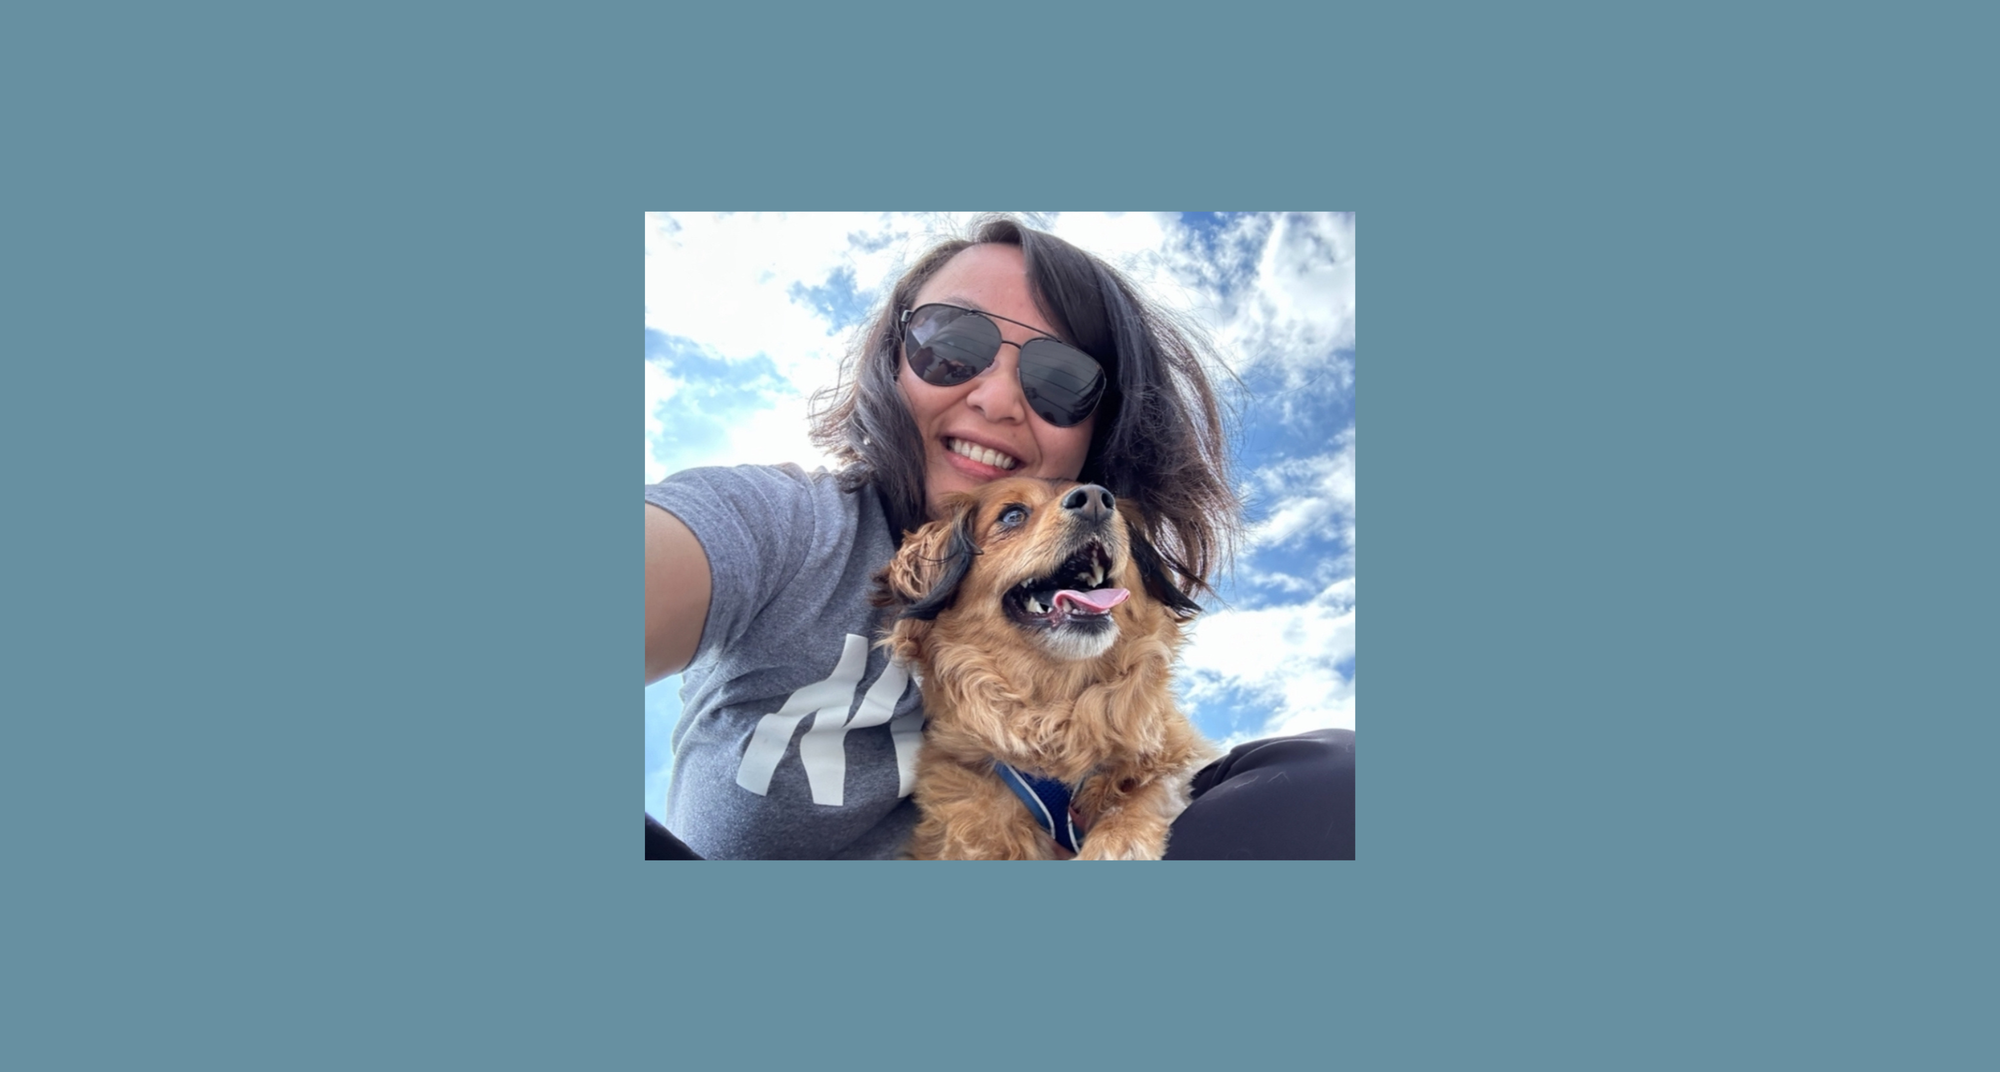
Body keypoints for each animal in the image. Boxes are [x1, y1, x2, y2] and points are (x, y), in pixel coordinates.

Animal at [872, 477, 1217, 860]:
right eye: (1012, 515)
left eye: (1113, 505)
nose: (1096, 499)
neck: (1056, 714)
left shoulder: (1178, 754)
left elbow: (1139, 794)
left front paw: (1113, 844)